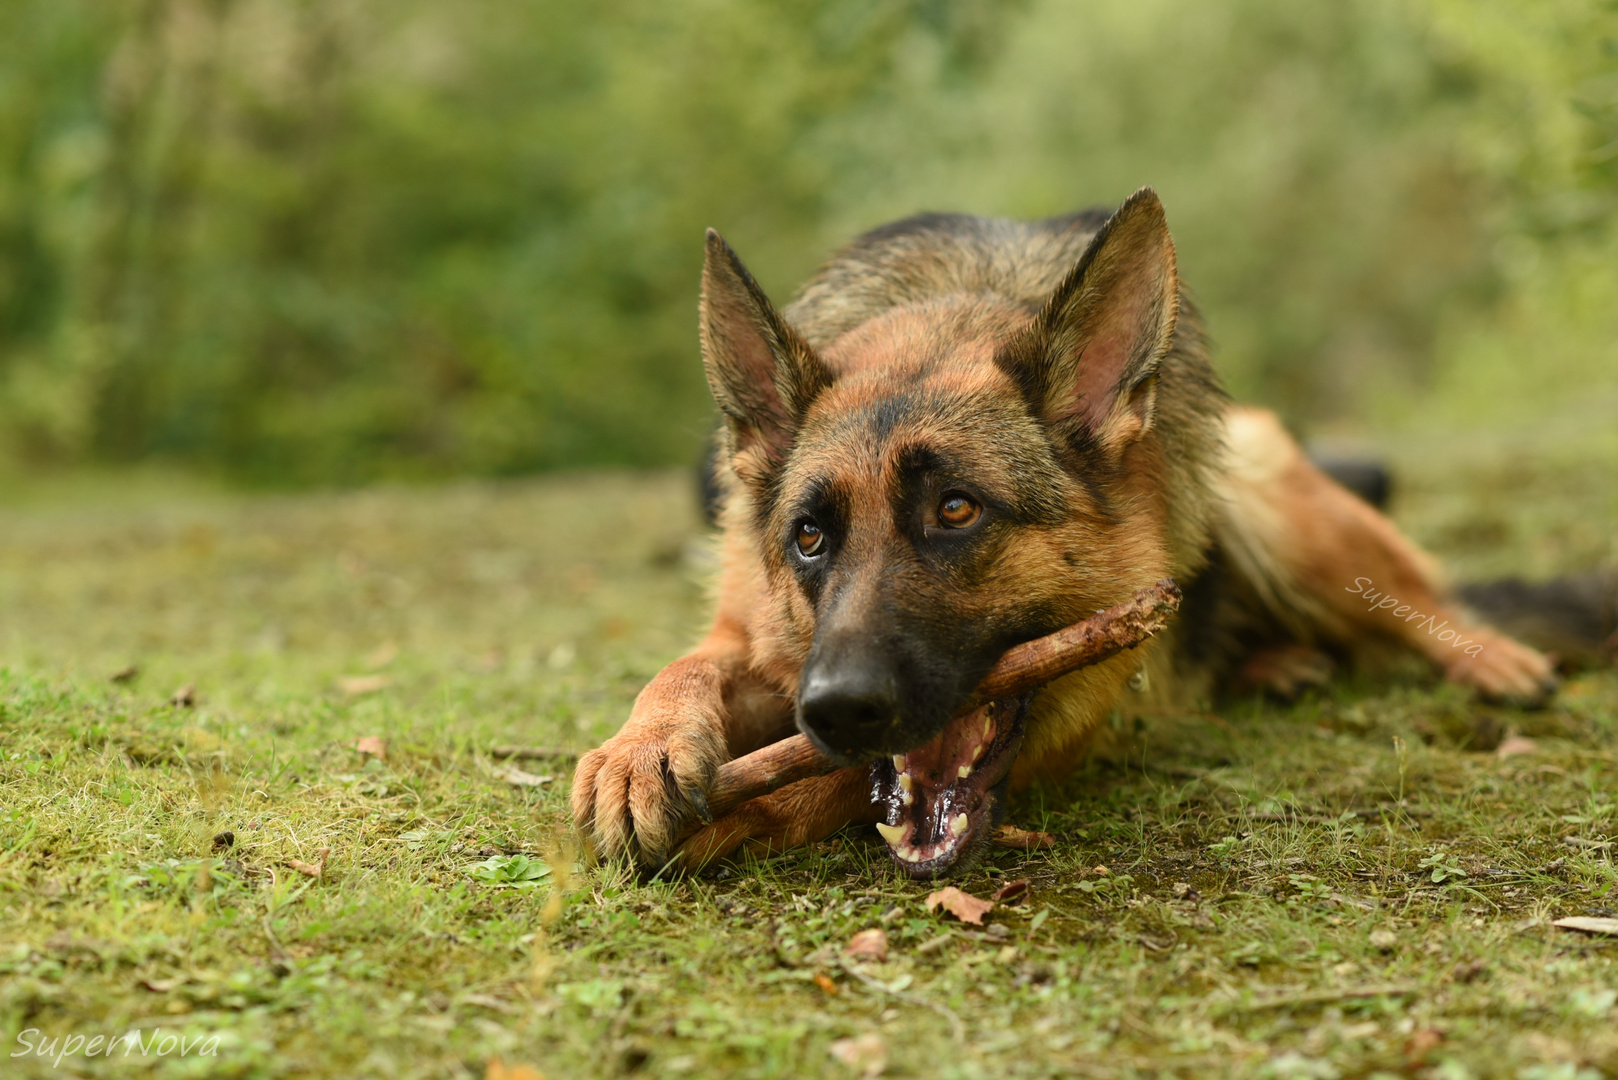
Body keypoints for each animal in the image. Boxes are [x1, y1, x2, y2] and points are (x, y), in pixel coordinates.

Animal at [566, 187, 1553, 880]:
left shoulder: (1080, 711)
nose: (838, 707)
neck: (946, 313)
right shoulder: (756, 634)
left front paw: (748, 807)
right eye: (809, 536)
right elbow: (685, 667)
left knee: (1419, 597)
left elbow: (834, 777)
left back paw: (1495, 659)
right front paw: (637, 751)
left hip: (1273, 491)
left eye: (957, 510)